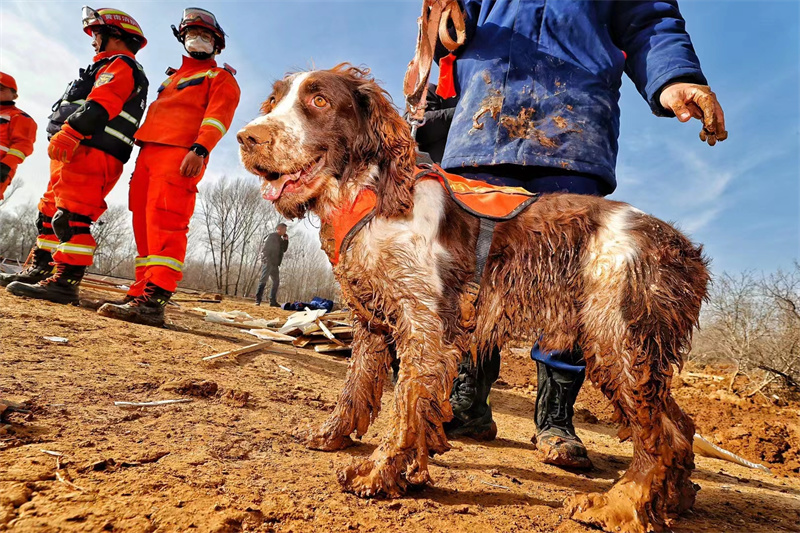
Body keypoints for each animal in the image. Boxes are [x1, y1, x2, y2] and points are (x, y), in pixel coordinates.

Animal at [236, 65, 708, 532]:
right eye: (274, 101)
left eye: (319, 101)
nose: (246, 138)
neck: (372, 193)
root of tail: (682, 248)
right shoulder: (372, 319)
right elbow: (355, 386)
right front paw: (330, 436)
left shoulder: (423, 324)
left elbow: (405, 406)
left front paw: (378, 473)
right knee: (681, 426)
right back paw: (675, 499)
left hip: (617, 342)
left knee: (660, 436)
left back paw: (620, 505)